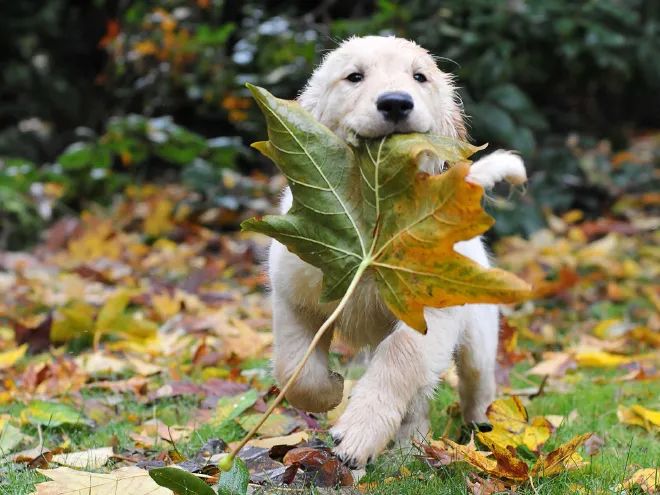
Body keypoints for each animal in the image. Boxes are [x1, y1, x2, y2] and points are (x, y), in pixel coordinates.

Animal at [266, 35, 524, 468]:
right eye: (354, 76)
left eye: (419, 77)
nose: (396, 103)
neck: (374, 212)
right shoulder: (293, 296)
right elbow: (295, 369)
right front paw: (330, 391)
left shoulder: (430, 313)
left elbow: (400, 359)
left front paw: (358, 432)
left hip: (478, 334)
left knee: (474, 384)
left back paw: (475, 432)